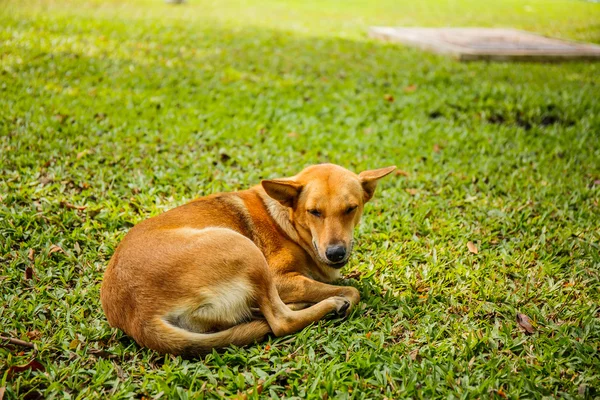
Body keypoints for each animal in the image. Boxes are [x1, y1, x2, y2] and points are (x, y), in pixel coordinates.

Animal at [101, 164, 396, 354]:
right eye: (314, 212)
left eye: (350, 209)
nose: (335, 253)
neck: (286, 220)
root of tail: (138, 318)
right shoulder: (280, 279)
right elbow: (352, 290)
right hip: (245, 250)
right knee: (281, 321)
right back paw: (328, 305)